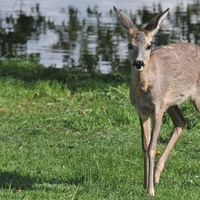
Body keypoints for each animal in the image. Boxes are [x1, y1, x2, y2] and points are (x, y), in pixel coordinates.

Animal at [114, 6, 200, 197]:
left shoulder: (158, 107)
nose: (138, 63)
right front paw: (145, 184)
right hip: (171, 102)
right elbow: (144, 146)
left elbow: (152, 146)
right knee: (181, 122)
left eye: (149, 45)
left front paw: (150, 191)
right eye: (129, 45)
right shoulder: (142, 110)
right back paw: (156, 177)